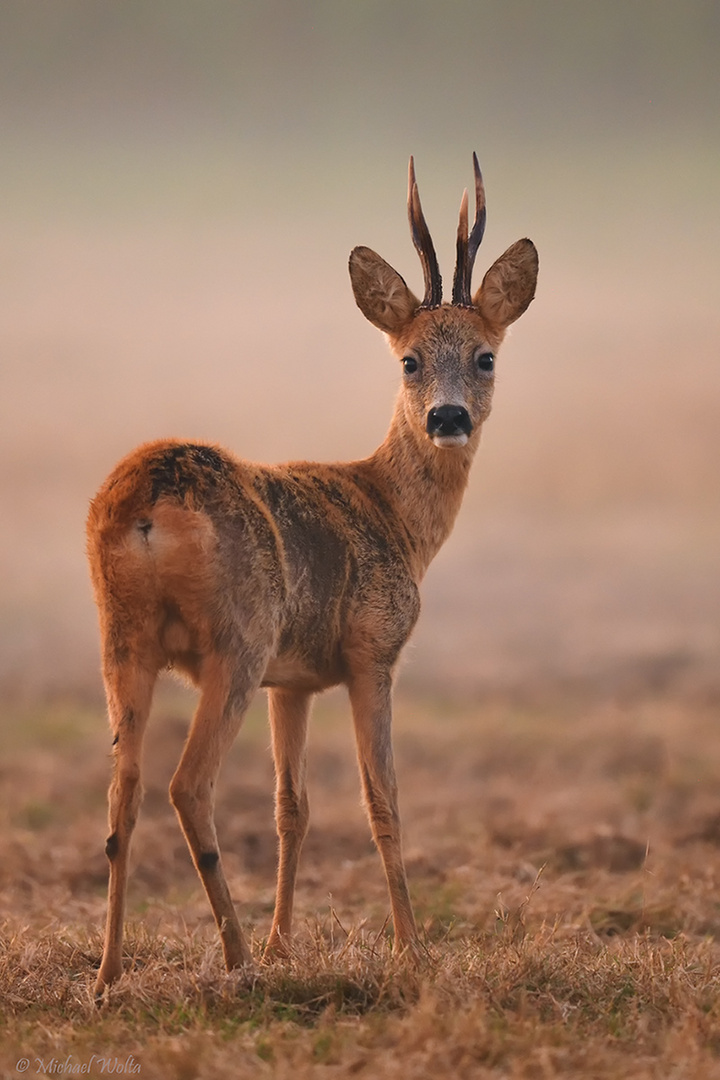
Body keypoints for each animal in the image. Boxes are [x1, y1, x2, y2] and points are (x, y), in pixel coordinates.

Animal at [87, 154, 537, 993]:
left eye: (486, 356)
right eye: (410, 359)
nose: (448, 418)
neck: (393, 513)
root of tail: (149, 501)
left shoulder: (291, 682)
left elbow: (290, 807)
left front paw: (284, 945)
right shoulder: (372, 652)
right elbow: (381, 797)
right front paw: (410, 950)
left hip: (122, 643)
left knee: (120, 796)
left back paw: (108, 974)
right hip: (235, 641)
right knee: (186, 785)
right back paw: (233, 961)